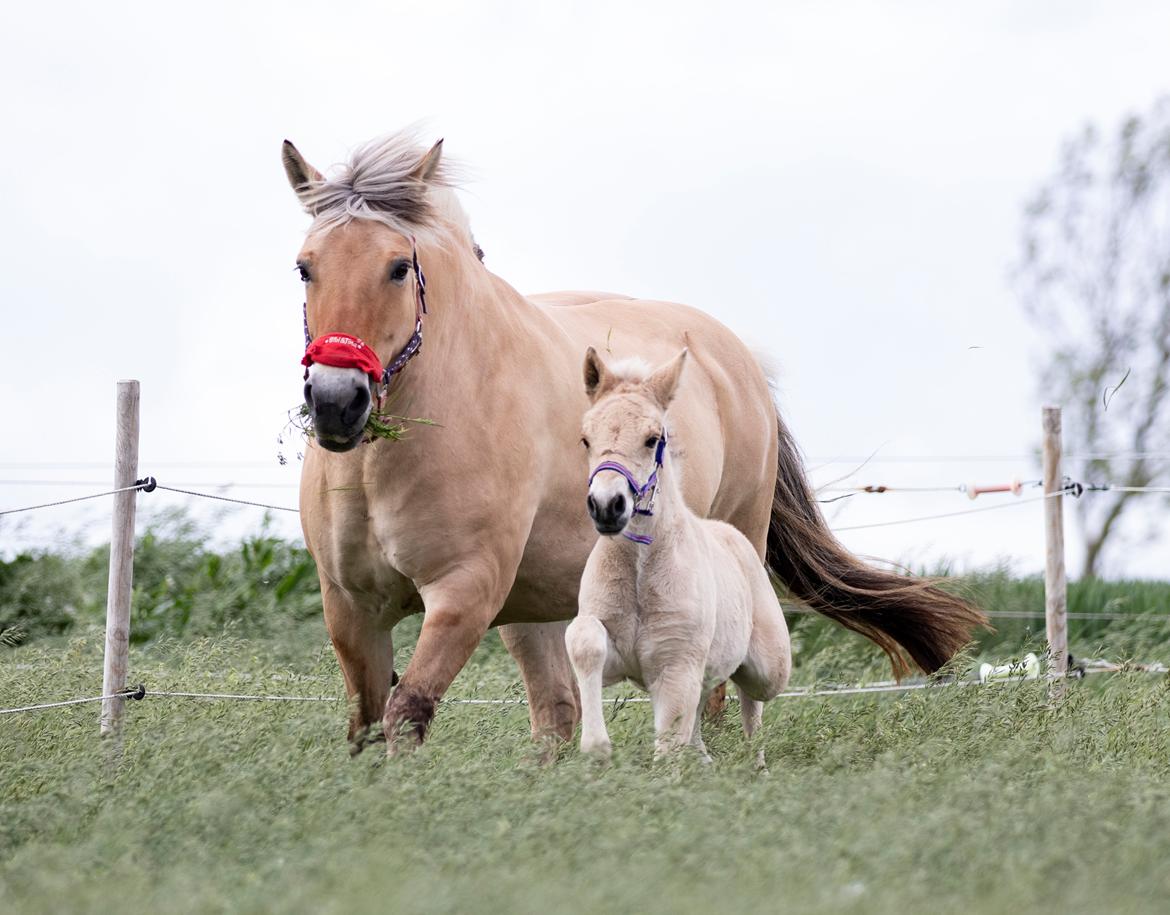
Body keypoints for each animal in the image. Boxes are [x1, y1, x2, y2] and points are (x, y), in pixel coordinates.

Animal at [563, 348, 790, 762]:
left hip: (768, 668)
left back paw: (755, 766)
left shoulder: (676, 668)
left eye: (653, 439)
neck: (640, 574)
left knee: (752, 707)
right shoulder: (620, 658)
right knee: (705, 715)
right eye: (585, 439)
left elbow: (668, 748)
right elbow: (584, 641)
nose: (606, 506)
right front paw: (597, 747)